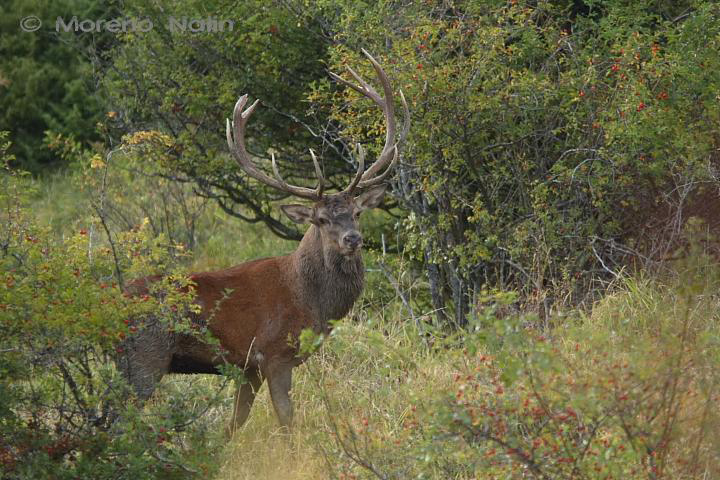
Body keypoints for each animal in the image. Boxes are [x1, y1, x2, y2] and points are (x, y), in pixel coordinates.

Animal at [118, 50, 409, 436]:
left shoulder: (247, 368)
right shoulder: (274, 353)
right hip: (145, 357)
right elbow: (286, 417)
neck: (310, 299)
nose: (352, 238)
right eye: (320, 219)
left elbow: (233, 424)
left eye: (357, 213)